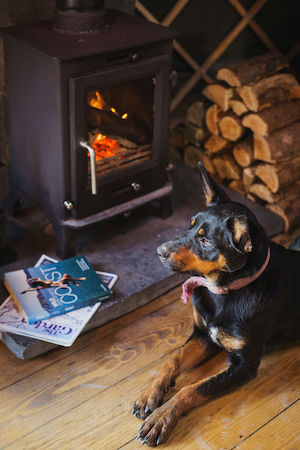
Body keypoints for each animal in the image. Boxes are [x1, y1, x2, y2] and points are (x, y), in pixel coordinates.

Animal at [133, 163, 300, 446]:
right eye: (189, 226)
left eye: (206, 241)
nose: (159, 251)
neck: (225, 291)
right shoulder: (203, 335)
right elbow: (172, 360)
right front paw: (151, 393)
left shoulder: (243, 365)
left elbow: (194, 388)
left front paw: (162, 416)